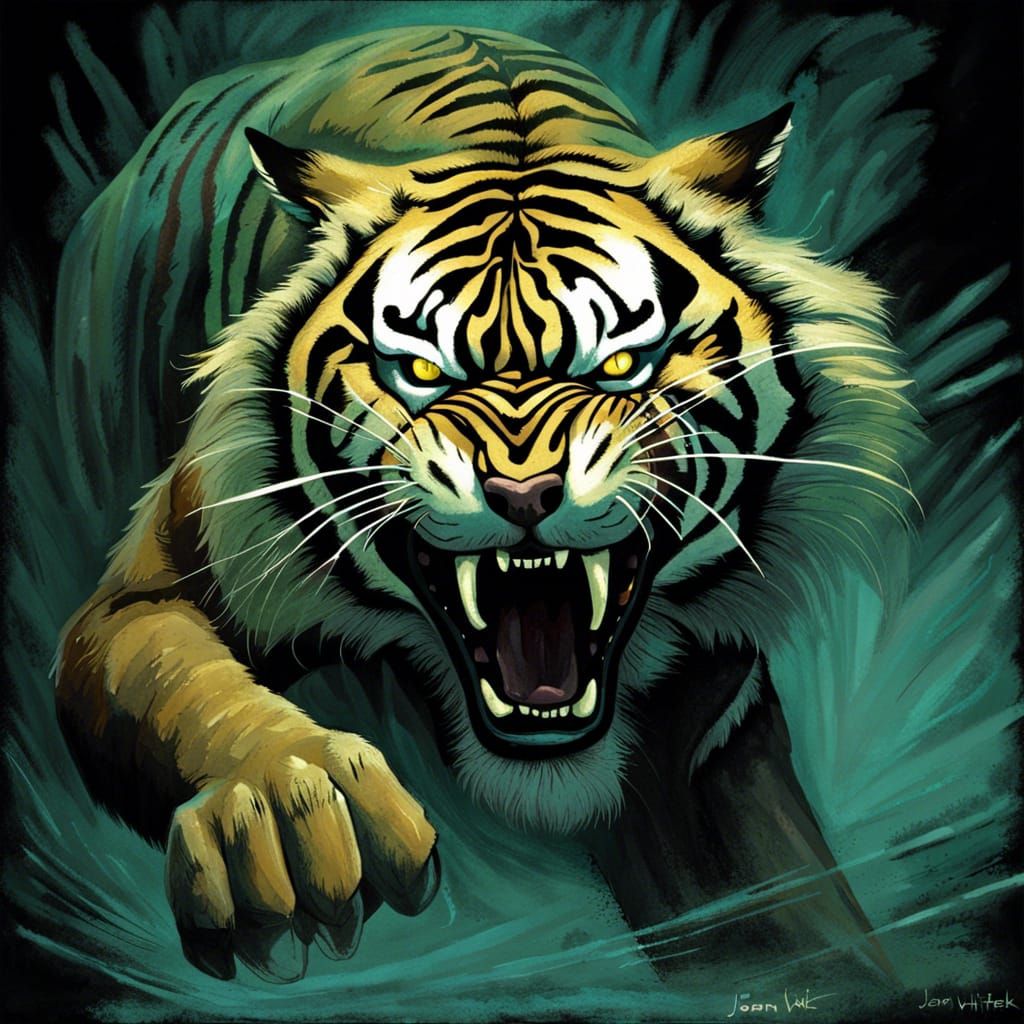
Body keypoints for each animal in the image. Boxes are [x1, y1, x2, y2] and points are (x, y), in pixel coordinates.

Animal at [56, 25, 916, 983]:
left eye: (620, 364)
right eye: (421, 370)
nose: (522, 491)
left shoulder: (708, 733)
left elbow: (782, 909)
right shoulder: (153, 588)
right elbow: (186, 680)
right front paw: (282, 810)